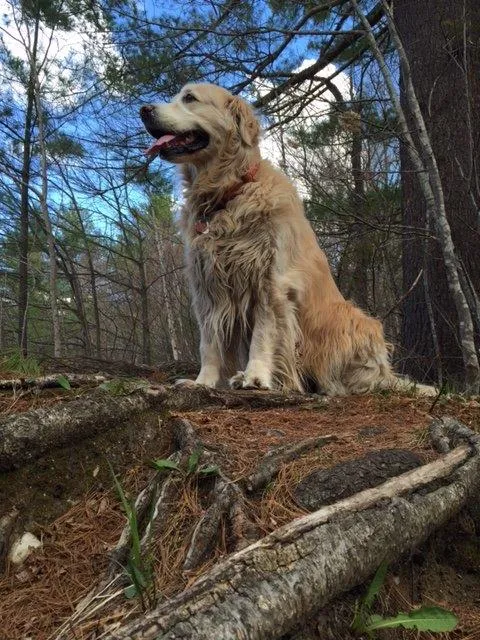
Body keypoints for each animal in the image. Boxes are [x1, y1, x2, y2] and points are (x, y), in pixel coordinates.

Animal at [141, 84, 430, 396]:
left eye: (190, 98)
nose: (144, 110)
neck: (229, 193)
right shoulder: (207, 286)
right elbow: (209, 342)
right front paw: (202, 382)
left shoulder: (270, 282)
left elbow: (263, 335)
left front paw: (254, 376)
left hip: (355, 322)